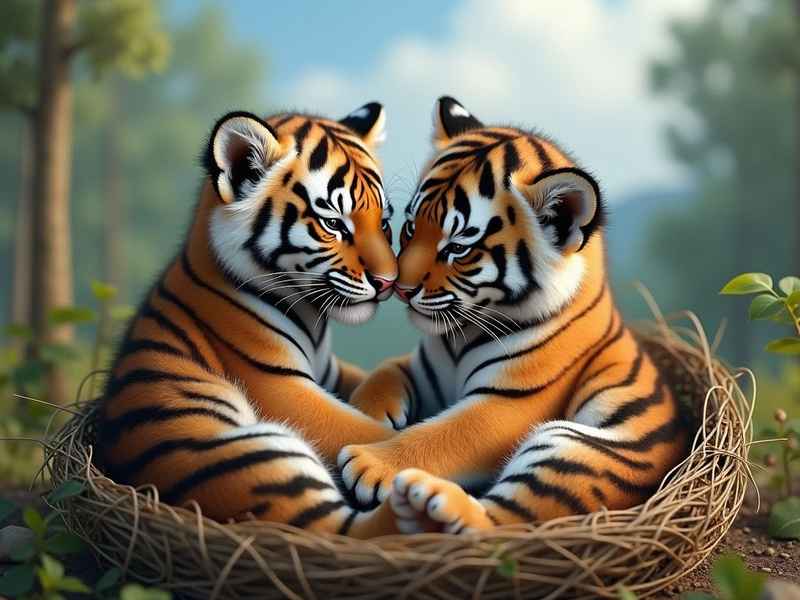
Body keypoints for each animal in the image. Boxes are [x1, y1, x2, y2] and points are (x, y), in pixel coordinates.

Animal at [96, 103, 407, 537]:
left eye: (383, 223)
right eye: (333, 224)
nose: (389, 282)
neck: (314, 320)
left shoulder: (329, 371)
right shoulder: (282, 390)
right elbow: (367, 432)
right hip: (258, 456)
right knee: (355, 530)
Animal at [339, 96, 690, 534]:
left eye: (458, 248)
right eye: (410, 228)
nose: (399, 289)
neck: (460, 337)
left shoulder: (510, 403)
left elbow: (447, 434)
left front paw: (367, 461)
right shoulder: (426, 369)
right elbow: (384, 371)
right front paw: (364, 411)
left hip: (570, 452)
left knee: (499, 522)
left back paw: (428, 497)